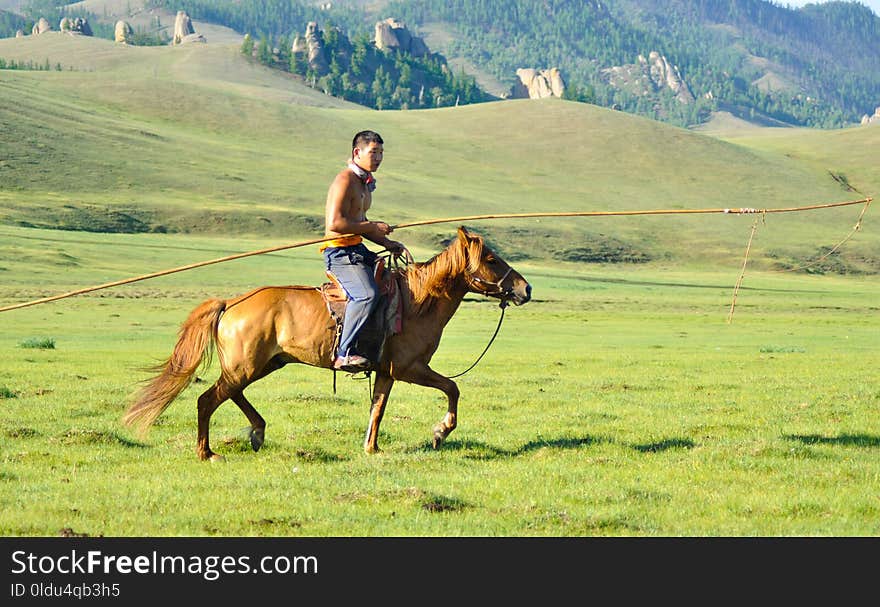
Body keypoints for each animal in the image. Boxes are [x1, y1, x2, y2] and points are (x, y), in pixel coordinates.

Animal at [123, 228, 528, 460]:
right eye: (491, 259)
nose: (526, 289)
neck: (419, 300)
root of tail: (232, 303)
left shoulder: (387, 371)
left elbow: (377, 409)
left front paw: (371, 447)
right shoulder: (410, 368)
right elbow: (452, 388)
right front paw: (440, 432)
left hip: (262, 364)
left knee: (231, 394)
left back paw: (257, 431)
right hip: (246, 366)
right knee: (208, 400)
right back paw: (207, 453)